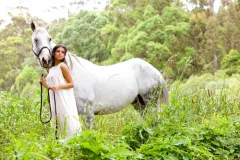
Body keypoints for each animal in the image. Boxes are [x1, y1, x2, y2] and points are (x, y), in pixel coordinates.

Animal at [31, 21, 170, 129]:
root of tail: (155, 71)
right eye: (35, 40)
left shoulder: (88, 113)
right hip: (139, 103)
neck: (73, 74)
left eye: (49, 38)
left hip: (151, 102)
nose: (46, 60)